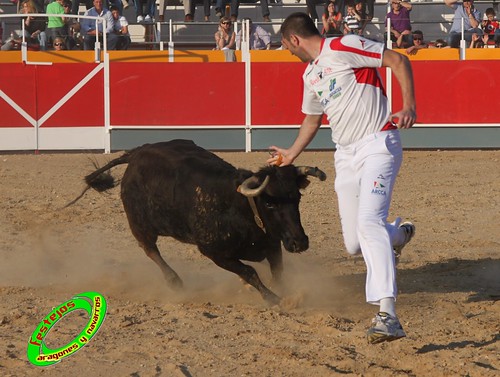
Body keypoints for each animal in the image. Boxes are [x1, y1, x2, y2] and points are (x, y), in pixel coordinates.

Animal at [71, 140, 328, 304]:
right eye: (270, 203)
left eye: (297, 198)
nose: (299, 242)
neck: (241, 208)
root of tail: (136, 153)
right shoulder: (214, 252)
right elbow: (249, 271)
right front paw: (273, 298)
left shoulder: (273, 244)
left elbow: (278, 272)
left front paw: (283, 293)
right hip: (140, 225)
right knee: (150, 250)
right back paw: (175, 281)